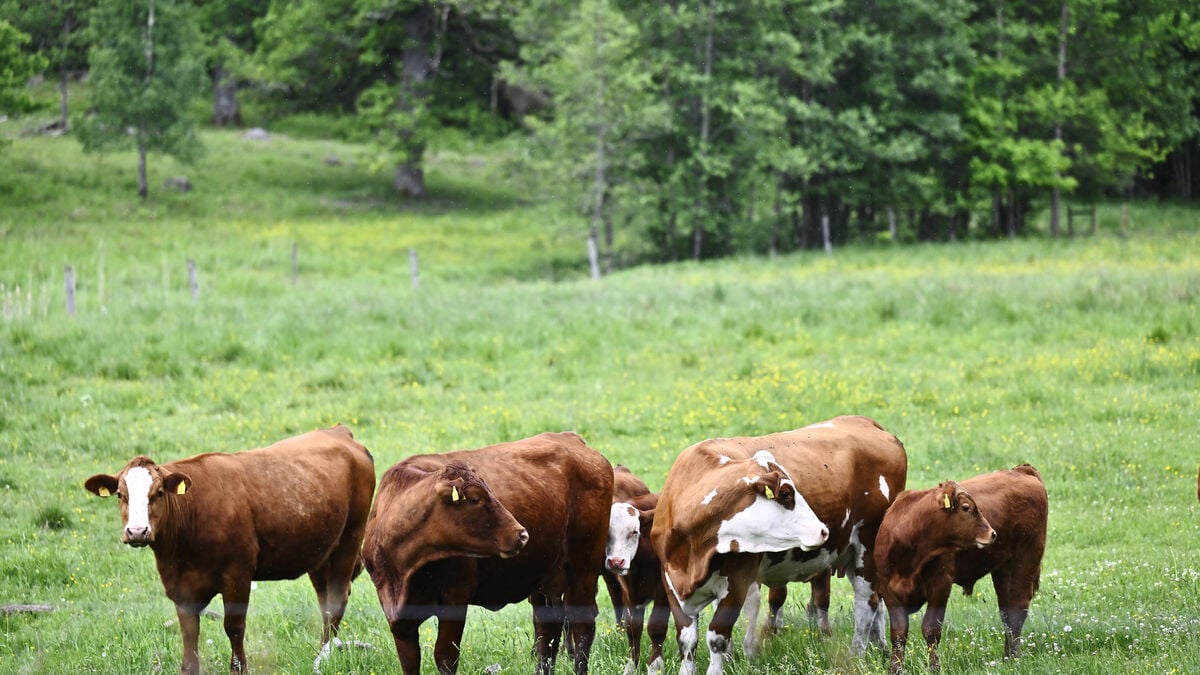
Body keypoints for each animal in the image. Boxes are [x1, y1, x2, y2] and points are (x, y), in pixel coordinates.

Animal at [83, 424, 376, 675]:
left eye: (158, 493)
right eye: (120, 495)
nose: (137, 531)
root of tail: (339, 431)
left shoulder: (237, 576)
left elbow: (234, 628)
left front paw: (239, 669)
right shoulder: (181, 589)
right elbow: (189, 634)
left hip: (350, 538)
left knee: (336, 599)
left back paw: (324, 657)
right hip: (320, 552)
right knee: (324, 601)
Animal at [361, 431, 613, 675]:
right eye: (475, 499)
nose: (522, 534)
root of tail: (571, 439)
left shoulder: (455, 598)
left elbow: (445, 656)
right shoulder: (398, 616)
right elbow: (409, 660)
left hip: (583, 567)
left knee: (582, 626)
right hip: (547, 576)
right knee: (547, 631)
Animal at [604, 466, 671, 675]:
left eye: (634, 532)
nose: (616, 561)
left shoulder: (663, 591)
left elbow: (656, 627)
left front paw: (655, 666)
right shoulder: (628, 592)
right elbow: (633, 629)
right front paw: (631, 665)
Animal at [650, 415, 907, 675]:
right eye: (785, 494)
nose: (822, 530)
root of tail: (865, 422)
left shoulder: (737, 582)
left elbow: (717, 637)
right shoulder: (671, 581)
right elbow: (687, 640)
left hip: (867, 545)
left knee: (866, 604)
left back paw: (857, 654)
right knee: (876, 602)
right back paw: (879, 646)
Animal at [874, 464, 1047, 673]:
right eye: (966, 508)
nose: (992, 533)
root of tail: (1021, 470)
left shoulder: (940, 585)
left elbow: (931, 629)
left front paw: (935, 668)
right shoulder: (887, 589)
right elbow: (899, 633)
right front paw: (895, 669)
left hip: (1026, 557)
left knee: (1017, 608)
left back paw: (1013, 658)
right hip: (1003, 567)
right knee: (1006, 610)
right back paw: (1007, 658)